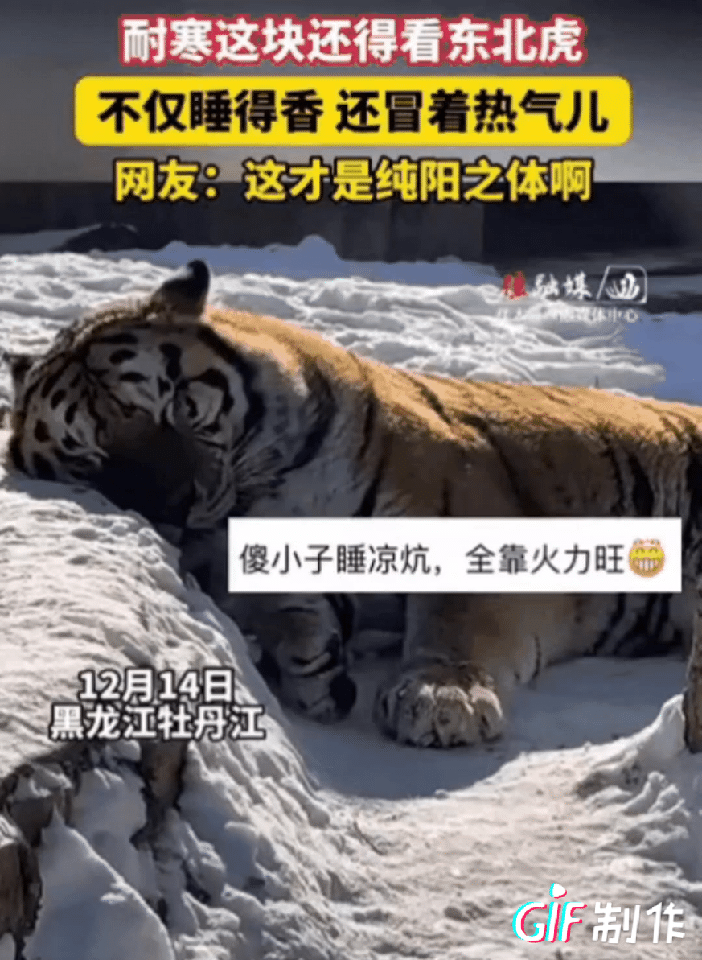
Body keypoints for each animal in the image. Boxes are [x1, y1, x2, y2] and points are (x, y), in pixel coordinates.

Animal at [4, 259, 701, 748]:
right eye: (91, 459)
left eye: (174, 403)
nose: (177, 505)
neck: (262, 491)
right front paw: (311, 665)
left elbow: (455, 617)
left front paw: (441, 700)